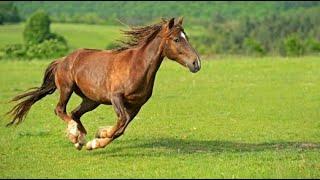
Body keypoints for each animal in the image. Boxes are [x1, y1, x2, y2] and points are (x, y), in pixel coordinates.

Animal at [6, 17, 201, 150]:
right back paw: (74, 134)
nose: (196, 63)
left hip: (92, 100)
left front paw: (98, 137)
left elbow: (122, 128)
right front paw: (97, 139)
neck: (137, 66)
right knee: (60, 110)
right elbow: (121, 121)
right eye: (176, 39)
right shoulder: (116, 97)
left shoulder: (136, 105)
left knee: (75, 113)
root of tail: (63, 60)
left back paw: (80, 140)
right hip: (67, 88)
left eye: (186, 37)